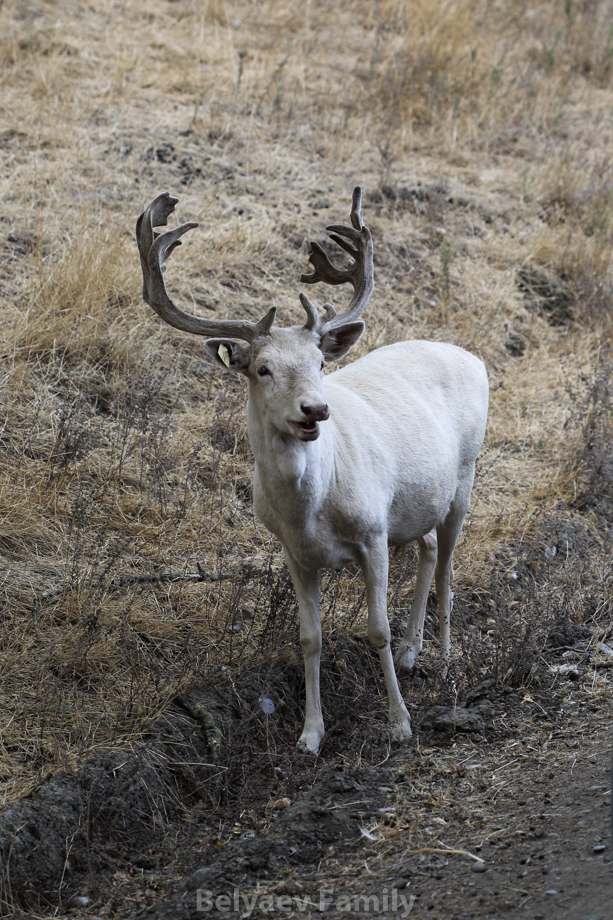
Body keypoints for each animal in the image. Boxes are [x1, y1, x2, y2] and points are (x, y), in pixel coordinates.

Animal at [136, 188, 489, 755]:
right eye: (262, 368)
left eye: (321, 364)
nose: (315, 410)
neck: (312, 506)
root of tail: (473, 356)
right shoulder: (295, 553)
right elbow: (309, 638)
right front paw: (310, 734)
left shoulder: (372, 531)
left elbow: (376, 629)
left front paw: (399, 723)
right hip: (417, 502)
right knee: (430, 548)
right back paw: (413, 653)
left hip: (465, 475)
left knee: (449, 568)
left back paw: (445, 663)